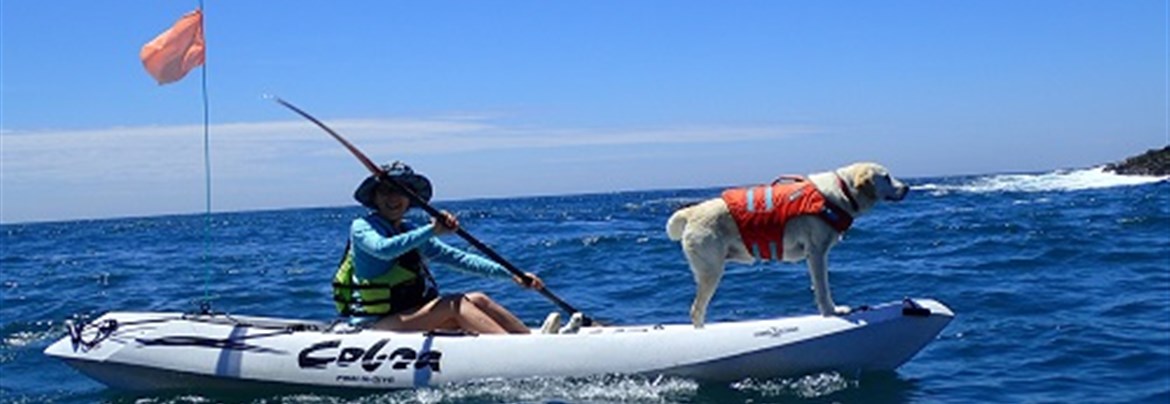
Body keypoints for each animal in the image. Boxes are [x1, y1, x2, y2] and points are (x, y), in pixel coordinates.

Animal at [669, 161, 903, 327]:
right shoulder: (816, 253)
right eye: (886, 177)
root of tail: (691, 212)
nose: (907, 187)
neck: (843, 190)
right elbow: (822, 289)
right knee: (696, 311)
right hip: (711, 271)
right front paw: (832, 312)